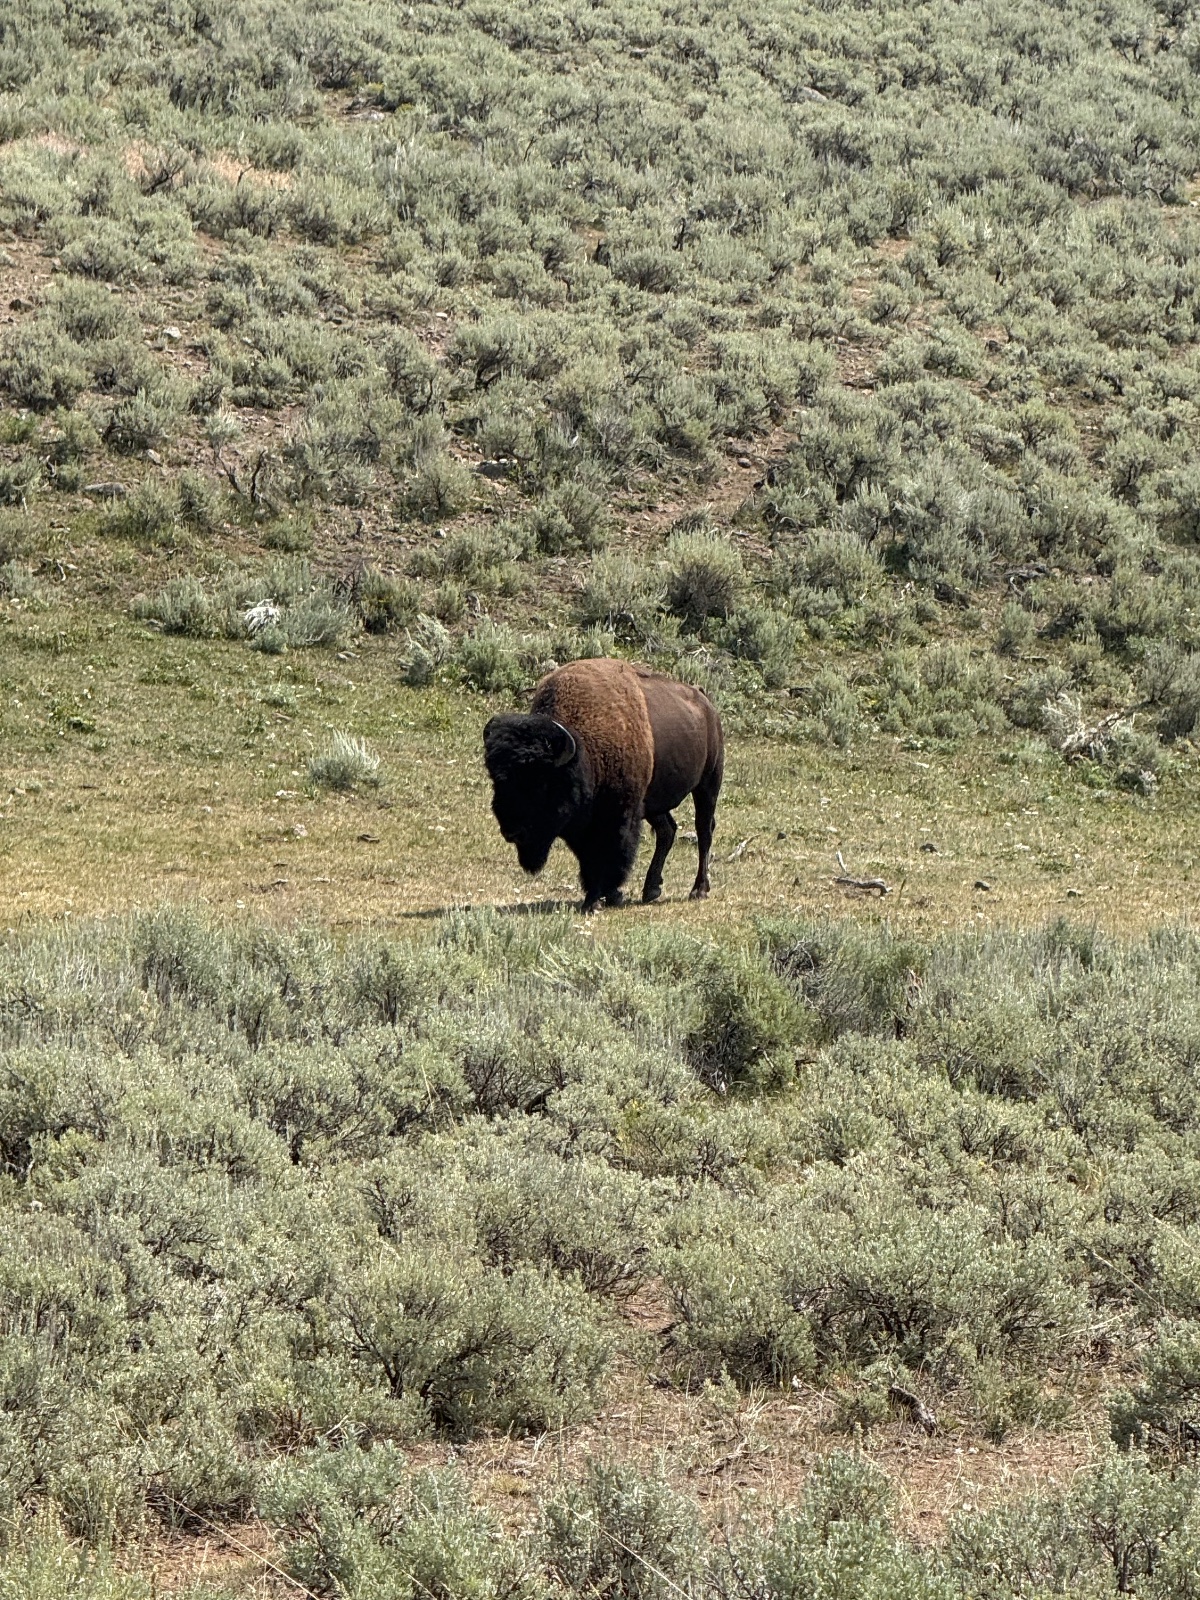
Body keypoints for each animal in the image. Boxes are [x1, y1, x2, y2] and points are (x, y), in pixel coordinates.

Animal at [483, 658, 724, 911]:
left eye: (540, 783)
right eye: (496, 780)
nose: (511, 831)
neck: (584, 747)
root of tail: (705, 702)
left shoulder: (619, 815)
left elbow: (610, 855)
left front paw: (600, 899)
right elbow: (589, 860)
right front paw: (602, 897)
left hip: (708, 784)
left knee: (703, 830)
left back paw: (698, 890)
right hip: (654, 803)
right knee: (667, 830)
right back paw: (651, 889)